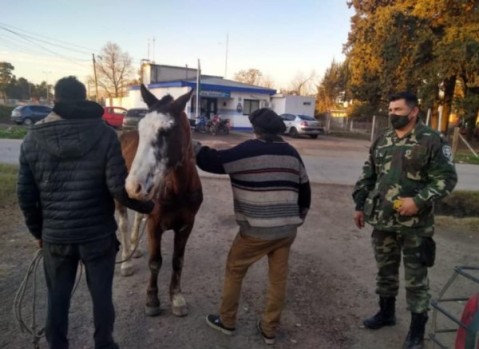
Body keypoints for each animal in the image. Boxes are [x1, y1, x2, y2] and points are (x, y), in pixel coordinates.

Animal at [118, 85, 204, 316]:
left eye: (166, 131)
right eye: (141, 130)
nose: (133, 186)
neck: (178, 188)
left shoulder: (187, 225)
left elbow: (178, 261)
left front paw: (176, 298)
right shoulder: (155, 225)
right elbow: (155, 262)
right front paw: (152, 300)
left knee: (137, 218)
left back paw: (135, 248)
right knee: (123, 223)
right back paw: (126, 262)